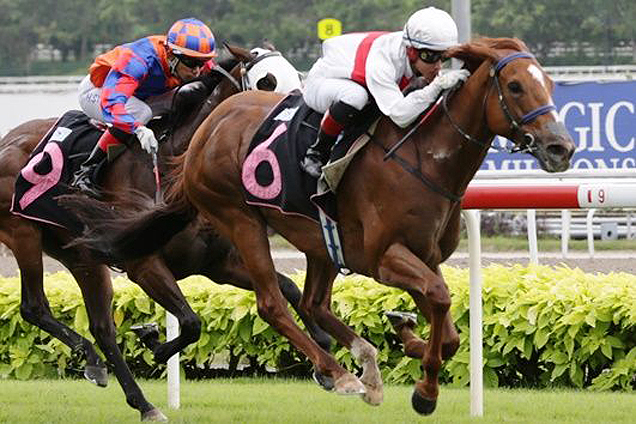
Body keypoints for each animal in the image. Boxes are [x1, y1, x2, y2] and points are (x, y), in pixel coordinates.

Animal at [0, 46, 326, 420]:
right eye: (266, 81)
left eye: (298, 76)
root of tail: (6, 141)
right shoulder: (144, 265)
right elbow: (191, 322)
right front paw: (153, 342)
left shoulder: (219, 264)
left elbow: (287, 287)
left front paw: (323, 348)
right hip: (22, 234)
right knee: (34, 307)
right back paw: (96, 361)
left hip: (80, 256)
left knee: (102, 327)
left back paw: (135, 397)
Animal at [66, 37, 576, 414]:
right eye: (515, 86)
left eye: (549, 82)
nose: (561, 147)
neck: (422, 157)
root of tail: (209, 129)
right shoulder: (384, 257)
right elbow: (439, 298)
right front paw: (424, 392)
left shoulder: (422, 256)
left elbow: (446, 325)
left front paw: (406, 336)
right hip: (240, 218)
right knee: (274, 303)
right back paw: (341, 373)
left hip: (317, 239)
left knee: (312, 302)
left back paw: (362, 364)